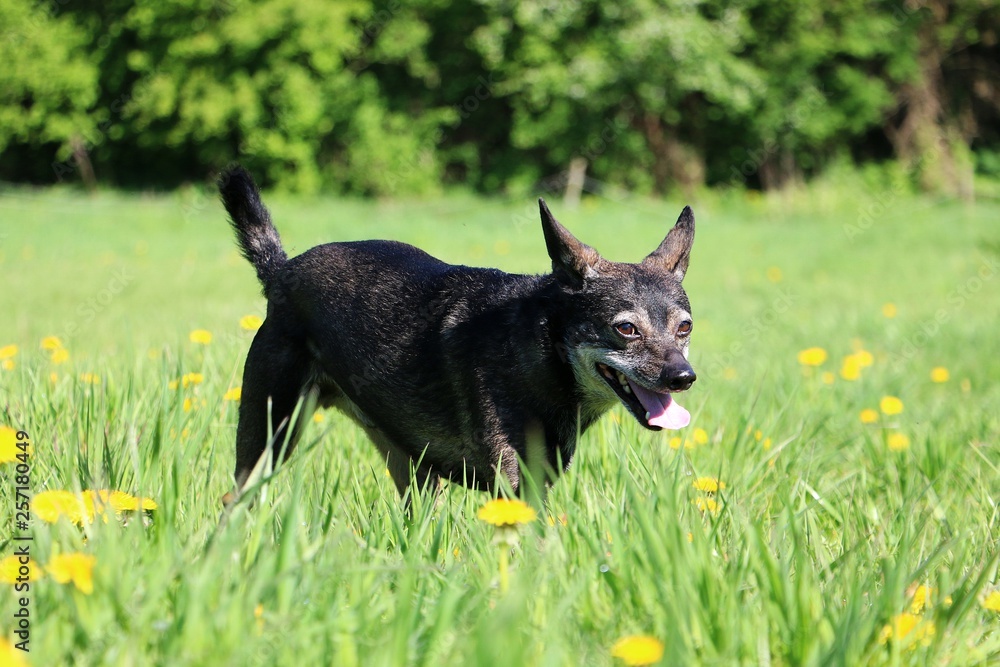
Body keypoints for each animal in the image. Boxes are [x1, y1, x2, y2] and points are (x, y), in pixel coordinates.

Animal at [221, 166, 696, 500]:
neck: (542, 351)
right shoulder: (513, 489)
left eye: (685, 327)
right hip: (269, 438)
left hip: (413, 470)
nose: (683, 377)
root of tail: (282, 271)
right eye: (626, 329)